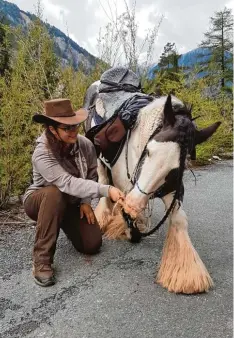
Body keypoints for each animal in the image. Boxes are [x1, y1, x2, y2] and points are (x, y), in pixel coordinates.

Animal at [83, 66, 221, 294]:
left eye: (176, 169)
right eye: (148, 151)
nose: (133, 205)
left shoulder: (172, 190)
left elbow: (179, 220)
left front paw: (188, 276)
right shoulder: (127, 186)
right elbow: (123, 210)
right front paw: (129, 230)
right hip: (100, 158)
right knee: (103, 182)